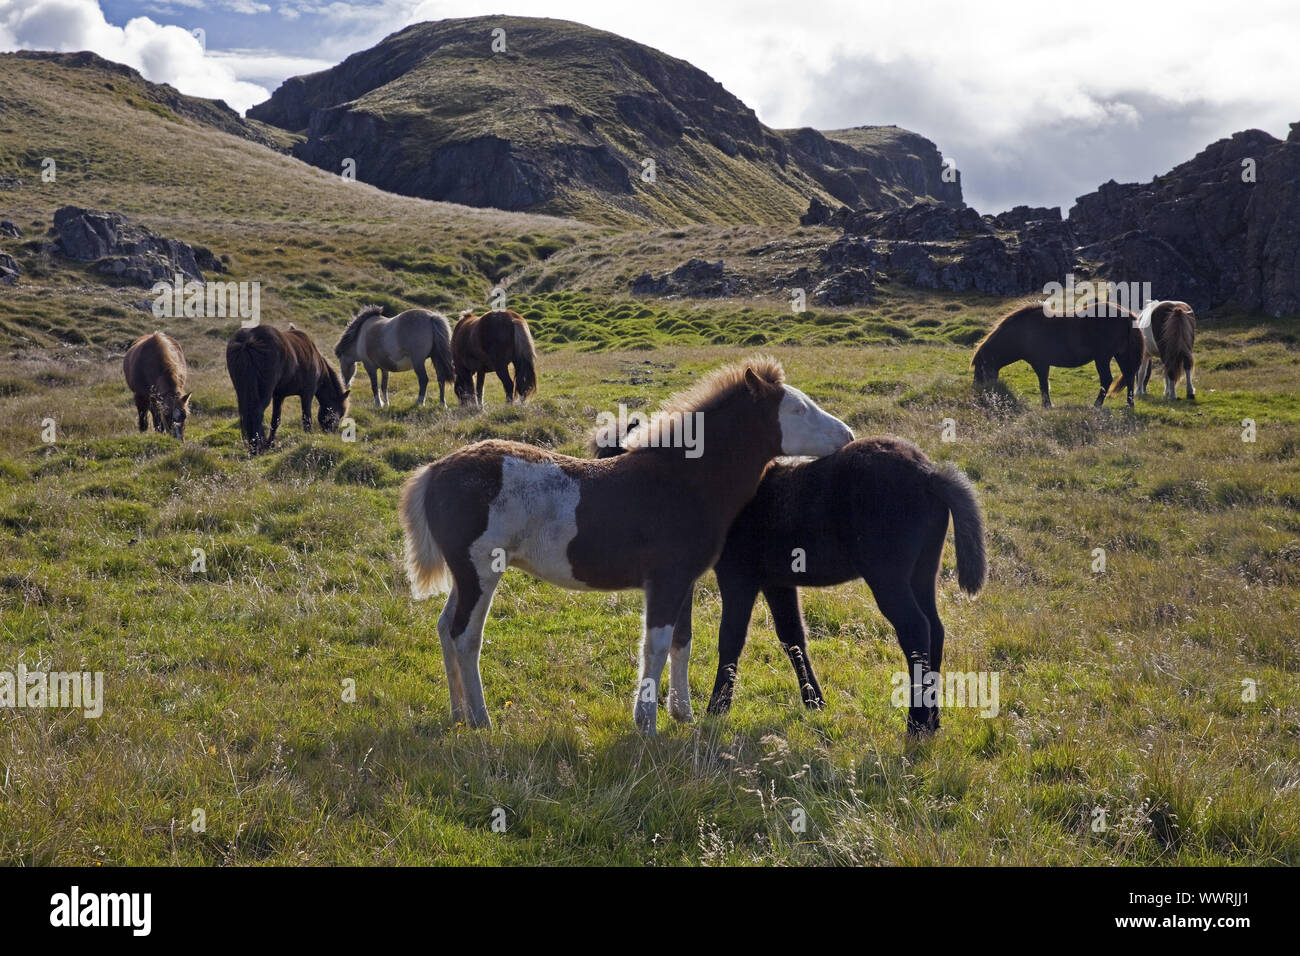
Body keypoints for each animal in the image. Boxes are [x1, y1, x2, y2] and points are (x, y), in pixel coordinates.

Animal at [226, 323, 351, 455]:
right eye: (339, 414)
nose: (331, 434)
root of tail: (248, 341)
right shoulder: (307, 394)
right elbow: (307, 419)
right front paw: (309, 438)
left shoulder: (278, 395)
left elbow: (275, 420)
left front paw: (270, 444)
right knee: (256, 413)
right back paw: (256, 448)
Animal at [400, 356, 857, 738]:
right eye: (797, 410)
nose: (849, 435)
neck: (685, 480)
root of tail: (435, 470)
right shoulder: (665, 581)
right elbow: (655, 646)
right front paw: (647, 725)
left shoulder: (684, 581)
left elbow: (681, 642)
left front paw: (683, 714)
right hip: (481, 572)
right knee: (465, 637)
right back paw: (481, 720)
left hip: (465, 575)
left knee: (444, 628)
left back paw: (458, 715)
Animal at [972, 303, 1144, 408]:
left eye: (980, 369)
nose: (977, 394)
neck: (1023, 332)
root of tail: (1127, 315)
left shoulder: (1040, 364)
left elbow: (1043, 385)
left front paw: (1047, 405)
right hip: (1120, 355)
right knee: (1128, 377)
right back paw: (1129, 404)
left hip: (1103, 358)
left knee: (1107, 380)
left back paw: (1096, 405)